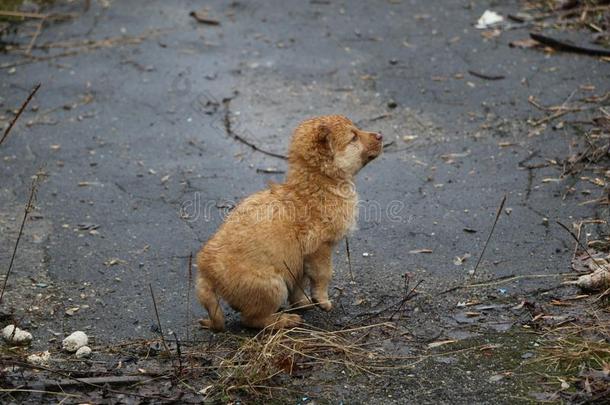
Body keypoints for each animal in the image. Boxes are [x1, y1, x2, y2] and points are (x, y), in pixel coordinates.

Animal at [196, 115, 380, 330]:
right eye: (353, 137)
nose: (380, 135)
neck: (316, 183)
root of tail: (207, 272)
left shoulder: (299, 261)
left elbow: (299, 285)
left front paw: (303, 303)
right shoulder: (319, 248)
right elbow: (324, 275)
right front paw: (323, 301)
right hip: (272, 286)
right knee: (253, 319)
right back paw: (284, 320)